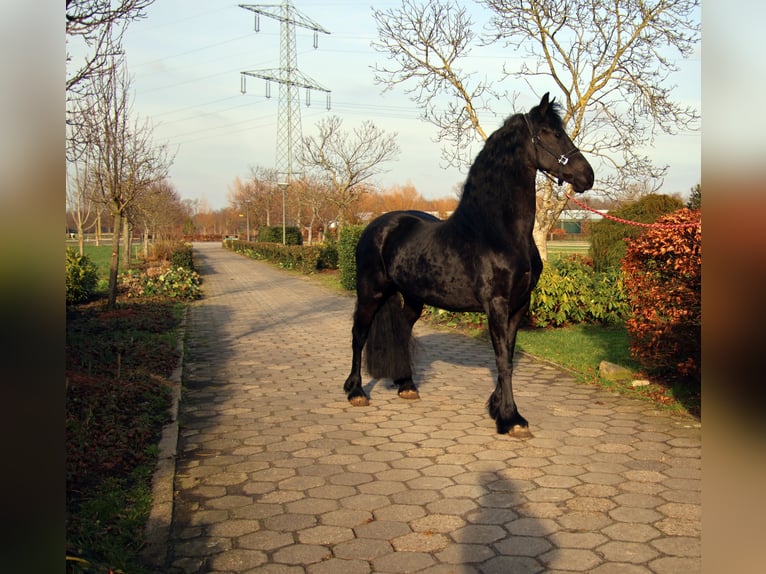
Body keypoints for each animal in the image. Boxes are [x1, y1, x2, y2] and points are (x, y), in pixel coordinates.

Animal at [343, 92, 594, 436]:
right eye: (550, 133)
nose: (587, 176)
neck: (497, 231)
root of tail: (376, 227)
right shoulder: (497, 304)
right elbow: (502, 360)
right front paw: (511, 418)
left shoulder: (519, 304)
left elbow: (507, 357)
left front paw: (497, 408)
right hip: (371, 292)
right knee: (359, 334)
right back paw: (355, 391)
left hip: (413, 298)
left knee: (402, 332)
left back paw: (407, 385)